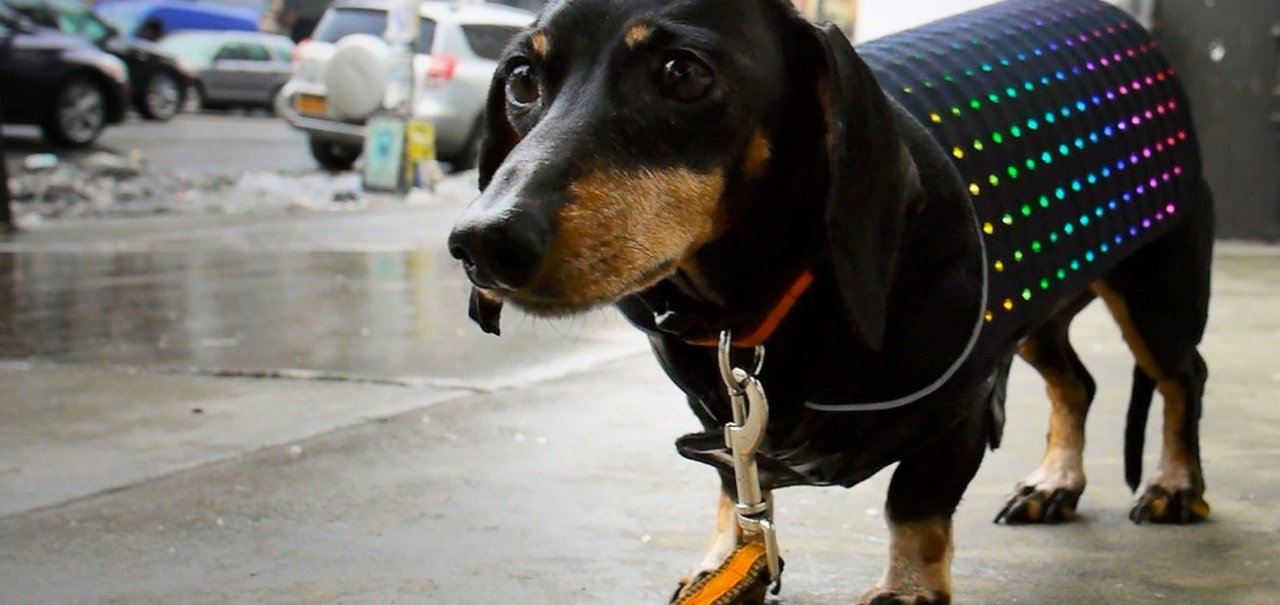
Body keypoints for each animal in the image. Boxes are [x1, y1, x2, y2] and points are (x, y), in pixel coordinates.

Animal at [445, 0, 1213, 598]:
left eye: (682, 73)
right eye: (522, 79)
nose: (484, 241)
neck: (759, 306)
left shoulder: (960, 407)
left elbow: (913, 505)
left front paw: (908, 589)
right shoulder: (723, 420)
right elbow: (735, 490)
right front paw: (725, 562)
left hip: (1156, 290)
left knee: (1182, 377)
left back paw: (1175, 485)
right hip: (1036, 308)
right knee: (1076, 382)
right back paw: (1057, 482)